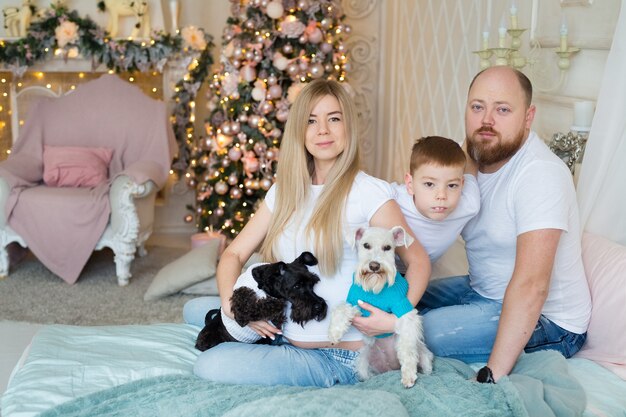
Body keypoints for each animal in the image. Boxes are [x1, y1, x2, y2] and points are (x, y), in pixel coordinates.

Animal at [196, 250, 330, 352]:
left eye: (312, 283)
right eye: (297, 286)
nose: (319, 306)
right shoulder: (242, 310)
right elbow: (256, 305)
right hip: (206, 340)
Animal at [326, 224, 434, 386]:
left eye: (387, 247)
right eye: (366, 245)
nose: (374, 265)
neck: (375, 286)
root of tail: (390, 368)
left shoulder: (404, 312)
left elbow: (407, 349)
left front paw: (408, 375)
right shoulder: (356, 304)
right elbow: (341, 308)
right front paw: (334, 333)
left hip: (423, 352)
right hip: (362, 362)